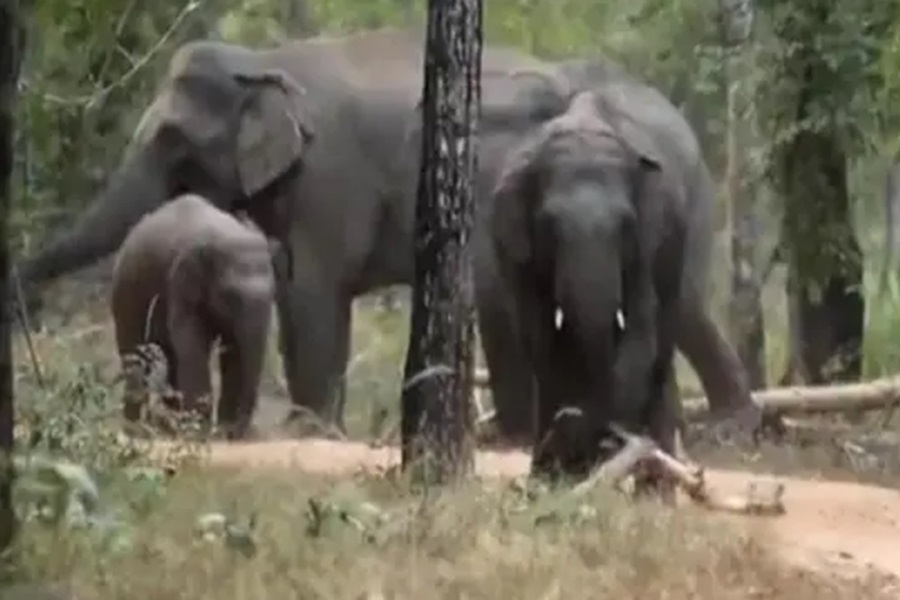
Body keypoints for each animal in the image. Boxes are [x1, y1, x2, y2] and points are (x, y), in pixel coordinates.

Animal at [112, 193, 276, 440]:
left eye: (273, 293)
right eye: (230, 295)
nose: (236, 433)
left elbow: (233, 350)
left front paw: (218, 430)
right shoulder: (180, 285)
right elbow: (193, 344)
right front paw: (200, 432)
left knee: (169, 358)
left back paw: (170, 425)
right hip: (125, 294)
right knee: (134, 354)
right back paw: (136, 430)